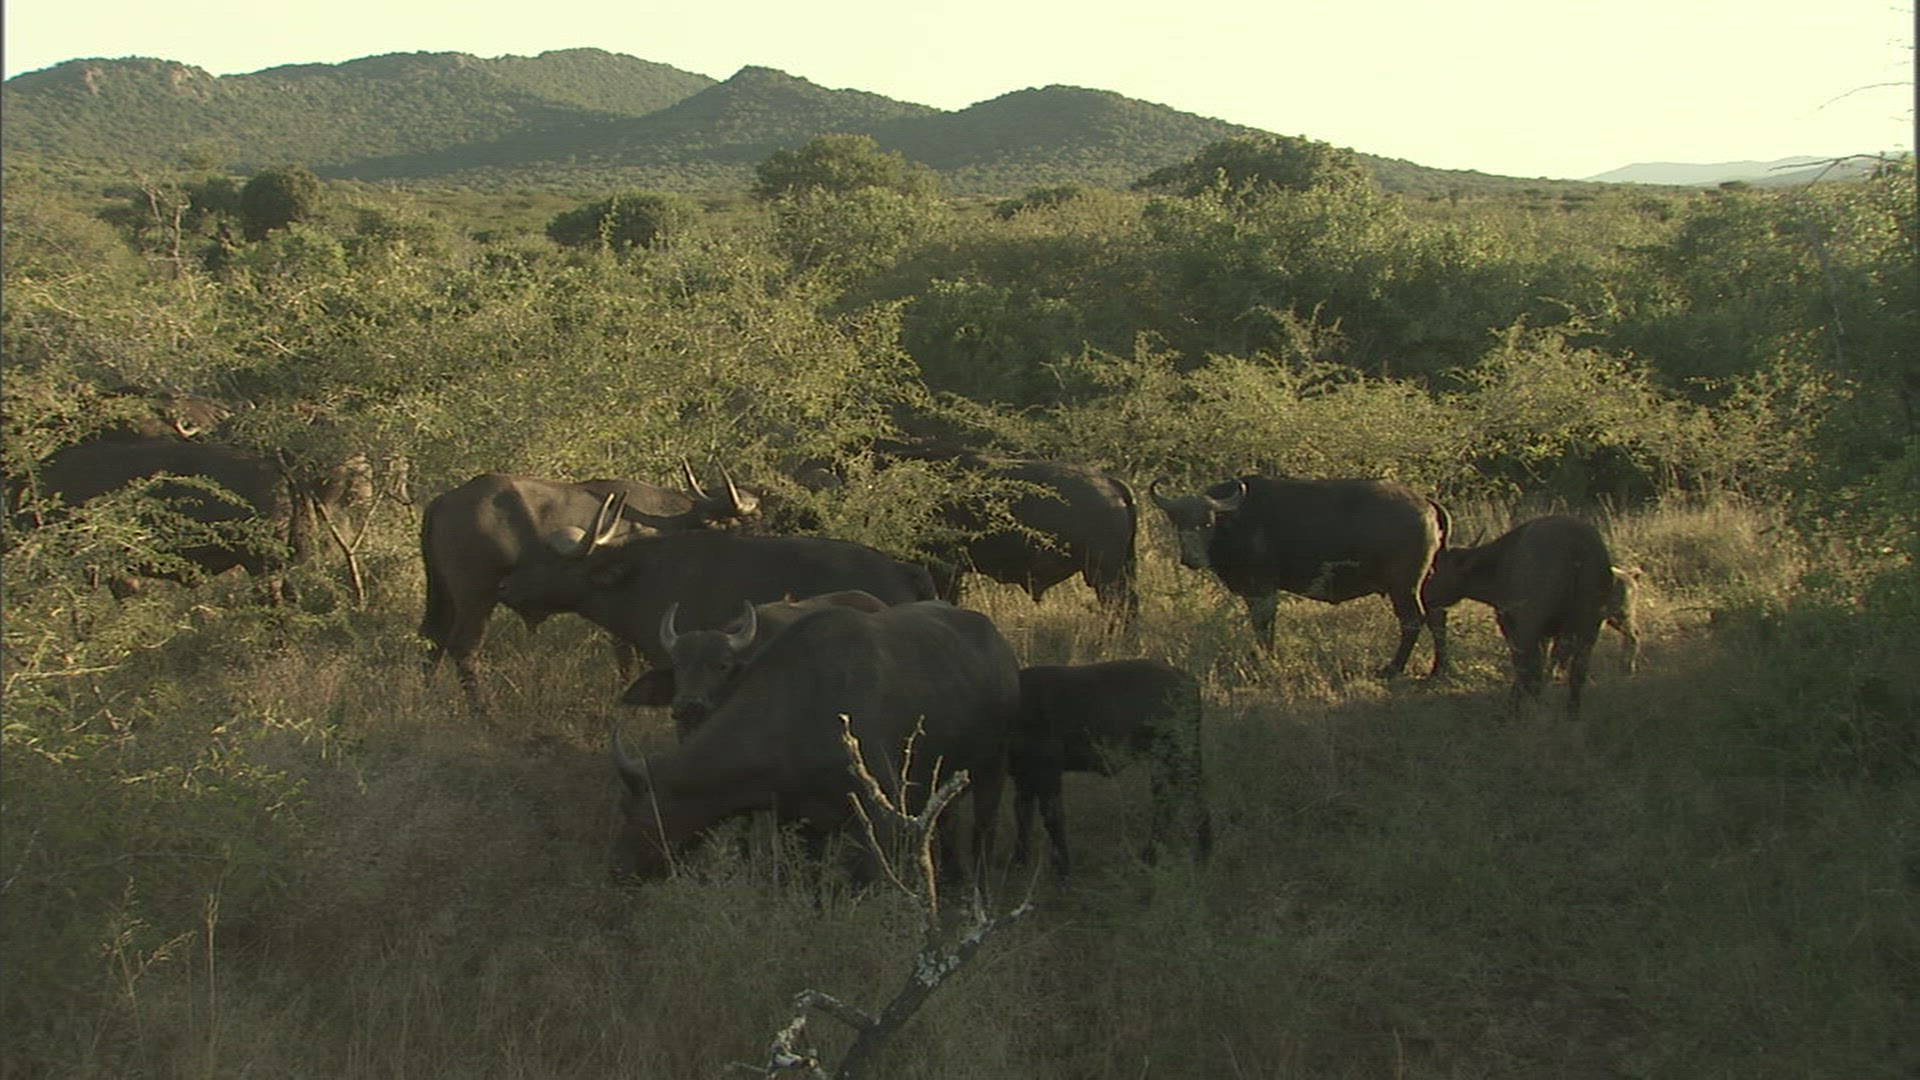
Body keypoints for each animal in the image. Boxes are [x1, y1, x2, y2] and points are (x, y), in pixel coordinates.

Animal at [417, 467, 759, 707]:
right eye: (745, 522)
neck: (667, 521)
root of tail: (445, 500)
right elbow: (628, 655)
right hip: (476, 598)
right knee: (464, 648)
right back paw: (485, 715)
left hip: (442, 594)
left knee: (432, 639)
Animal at [607, 600, 1020, 880]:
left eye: (636, 813)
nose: (618, 870)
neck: (797, 711)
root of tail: (999, 644)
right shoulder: (803, 823)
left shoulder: (879, 820)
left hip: (993, 770)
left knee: (983, 831)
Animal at [1011, 659, 1212, 876]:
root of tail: (1182, 675)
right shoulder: (1020, 773)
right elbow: (1022, 813)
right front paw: (1018, 862)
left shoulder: (1048, 768)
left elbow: (1052, 815)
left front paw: (1062, 868)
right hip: (1161, 760)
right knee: (1166, 801)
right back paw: (1151, 856)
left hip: (1179, 754)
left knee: (1194, 794)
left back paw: (1202, 855)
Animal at [1150, 475, 1452, 677]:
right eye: (1178, 522)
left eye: (1208, 523)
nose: (1192, 558)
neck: (1238, 521)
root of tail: (1425, 503)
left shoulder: (1263, 588)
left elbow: (1263, 625)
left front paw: (1266, 660)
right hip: (1427, 584)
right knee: (1437, 617)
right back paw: (1439, 668)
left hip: (1404, 585)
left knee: (1413, 620)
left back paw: (1392, 668)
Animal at [1422, 514, 1616, 716]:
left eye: (1436, 568)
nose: (1426, 595)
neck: (1498, 564)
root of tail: (1579, 546)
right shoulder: (1546, 634)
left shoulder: (1511, 623)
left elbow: (1525, 663)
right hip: (1590, 626)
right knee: (1578, 671)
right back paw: (1572, 713)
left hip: (1531, 623)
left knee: (1528, 665)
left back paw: (1513, 707)